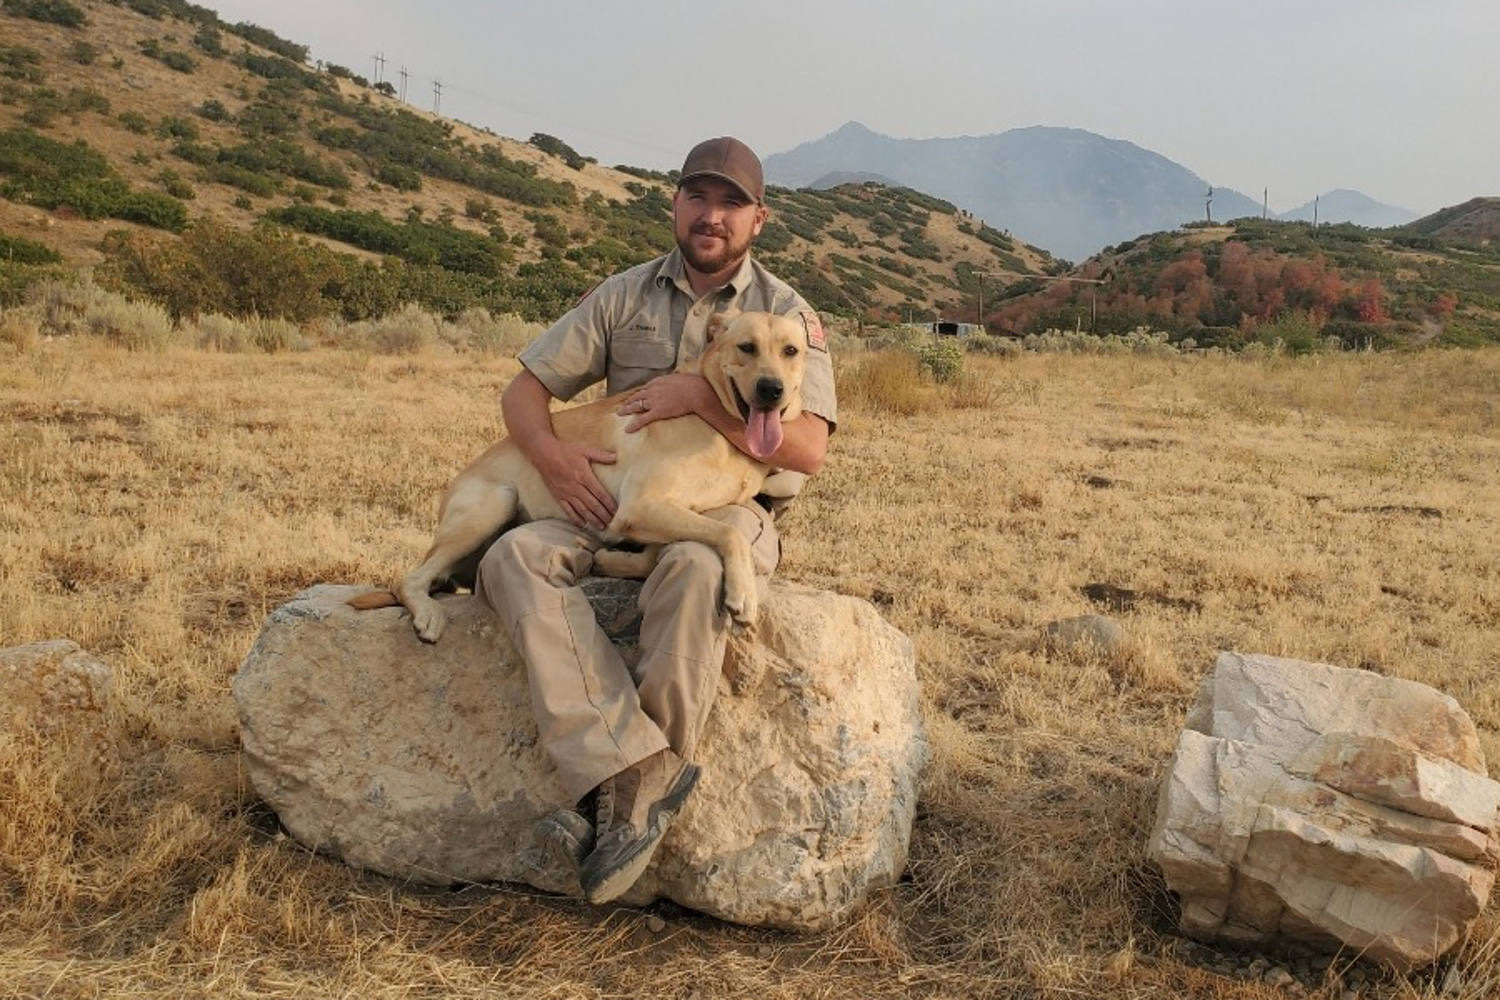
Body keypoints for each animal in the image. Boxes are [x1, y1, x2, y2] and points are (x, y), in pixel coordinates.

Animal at [351, 308, 810, 644]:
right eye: (746, 347)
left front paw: (613, 559)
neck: (715, 420)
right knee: (409, 578)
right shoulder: (640, 506)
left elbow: (665, 550)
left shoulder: (672, 512)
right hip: (492, 505)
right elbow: (730, 535)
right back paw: (428, 615)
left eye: (790, 350)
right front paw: (743, 594)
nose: (772, 390)